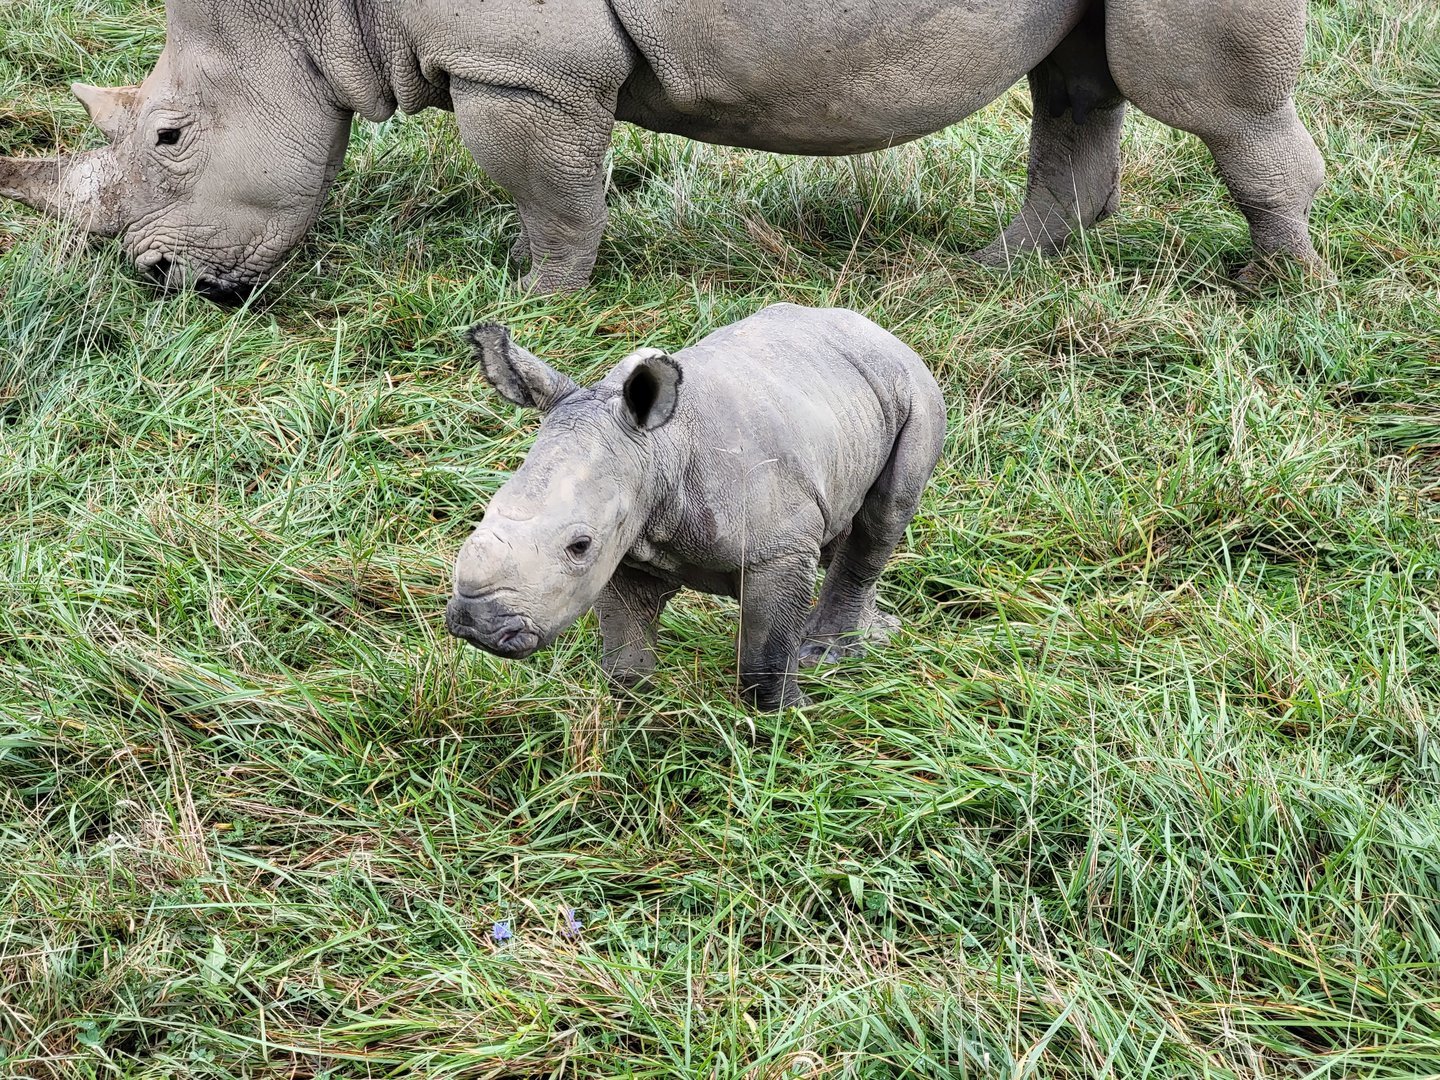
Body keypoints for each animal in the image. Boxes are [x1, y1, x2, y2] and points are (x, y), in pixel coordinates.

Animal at [445, 304, 946, 710]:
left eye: (579, 545)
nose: (477, 624)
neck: (657, 449)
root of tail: (881, 331)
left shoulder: (777, 551)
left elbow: (764, 661)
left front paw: (791, 721)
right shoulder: (626, 545)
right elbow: (626, 659)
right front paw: (635, 719)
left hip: (917, 391)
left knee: (881, 519)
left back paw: (826, 655)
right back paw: (873, 636)